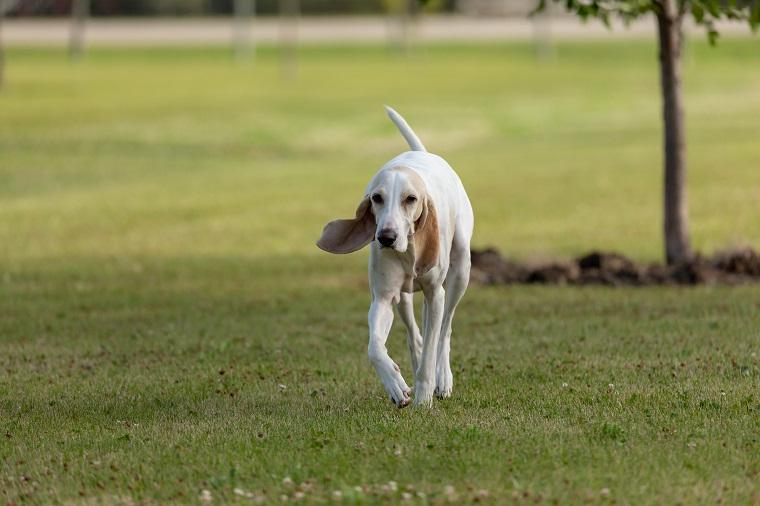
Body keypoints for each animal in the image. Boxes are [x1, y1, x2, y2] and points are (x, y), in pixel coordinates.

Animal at [316, 106, 472, 408]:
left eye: (410, 199)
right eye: (376, 198)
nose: (385, 237)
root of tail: (424, 153)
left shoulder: (436, 293)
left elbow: (433, 347)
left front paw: (424, 397)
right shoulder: (384, 297)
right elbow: (375, 347)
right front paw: (395, 384)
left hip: (461, 271)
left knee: (444, 330)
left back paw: (443, 378)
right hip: (404, 297)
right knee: (415, 334)